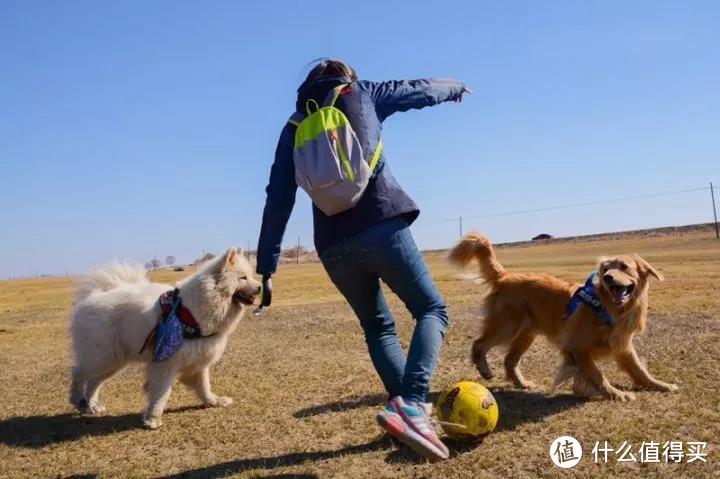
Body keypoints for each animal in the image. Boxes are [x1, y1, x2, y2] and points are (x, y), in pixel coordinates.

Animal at [69, 249, 260, 430]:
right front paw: (153, 419)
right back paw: (78, 400)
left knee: (93, 381)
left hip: (113, 361)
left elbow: (204, 386)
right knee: (78, 373)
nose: (260, 287)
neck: (196, 311)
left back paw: (92, 405)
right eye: (243, 278)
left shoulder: (198, 361)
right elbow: (162, 393)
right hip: (103, 357)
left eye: (251, 275)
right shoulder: (165, 362)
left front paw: (214, 401)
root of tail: (93, 296)